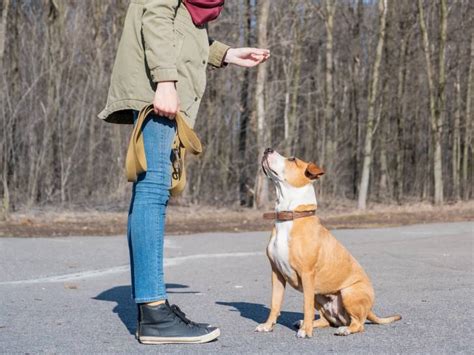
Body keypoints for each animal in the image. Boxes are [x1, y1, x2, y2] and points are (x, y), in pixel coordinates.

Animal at [256, 149, 400, 340]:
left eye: (292, 159)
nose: (267, 149)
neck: (290, 216)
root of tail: (369, 310)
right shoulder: (276, 273)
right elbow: (275, 303)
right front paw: (267, 326)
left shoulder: (307, 274)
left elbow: (306, 306)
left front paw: (306, 331)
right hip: (320, 295)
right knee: (327, 320)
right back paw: (304, 323)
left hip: (348, 292)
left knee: (358, 324)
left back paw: (343, 329)